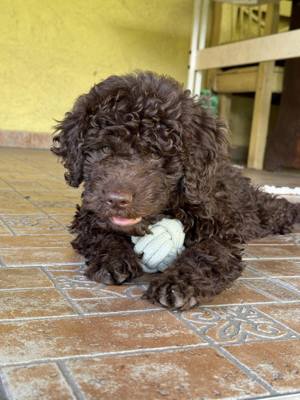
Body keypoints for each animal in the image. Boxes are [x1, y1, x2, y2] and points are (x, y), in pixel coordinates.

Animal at [51, 71, 298, 310]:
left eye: (155, 153)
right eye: (103, 149)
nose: (117, 200)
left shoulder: (221, 230)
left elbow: (207, 253)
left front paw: (177, 284)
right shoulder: (89, 212)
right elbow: (100, 232)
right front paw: (112, 258)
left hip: (256, 211)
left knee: (277, 208)